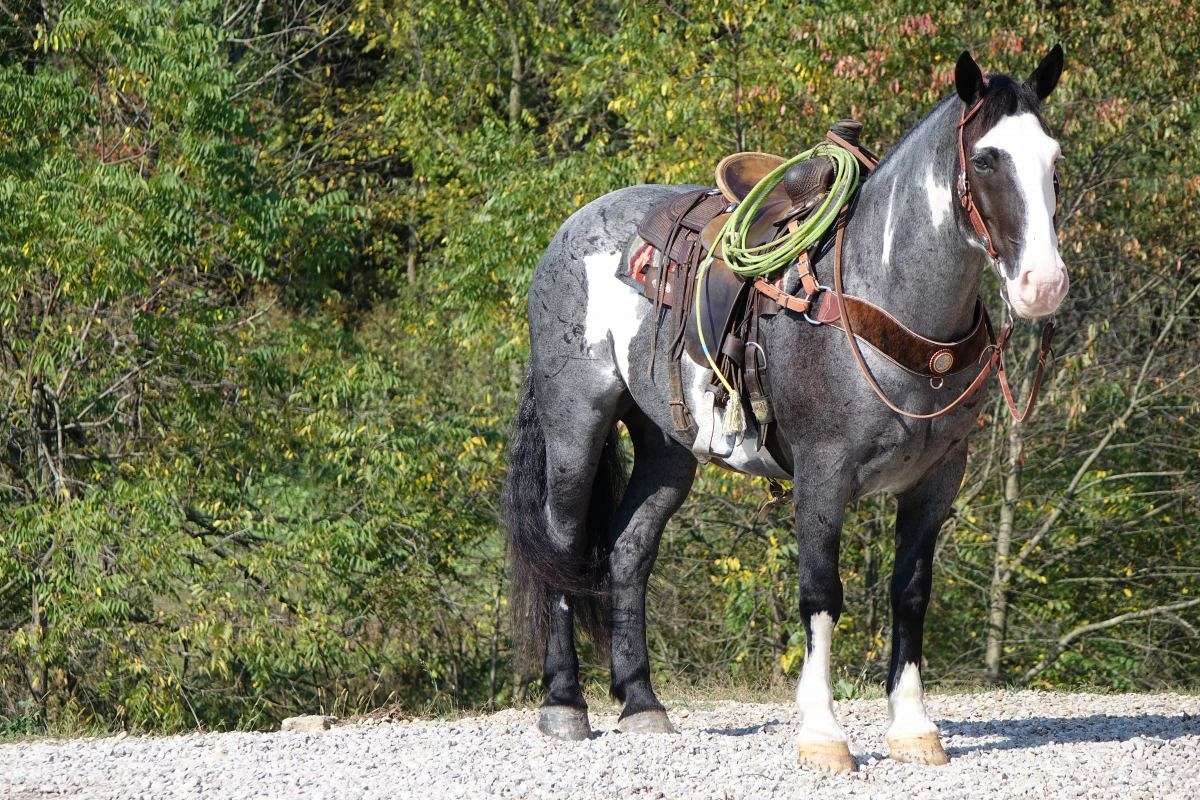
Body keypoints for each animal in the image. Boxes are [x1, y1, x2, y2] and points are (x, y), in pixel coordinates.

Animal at [502, 46, 1068, 772]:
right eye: (989, 158)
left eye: (1053, 158)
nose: (1042, 285)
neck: (879, 295)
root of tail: (569, 233)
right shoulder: (823, 475)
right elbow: (821, 593)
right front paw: (823, 734)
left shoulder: (938, 478)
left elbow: (910, 592)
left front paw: (914, 729)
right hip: (577, 425)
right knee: (564, 546)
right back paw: (565, 703)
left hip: (666, 448)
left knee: (629, 551)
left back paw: (642, 704)